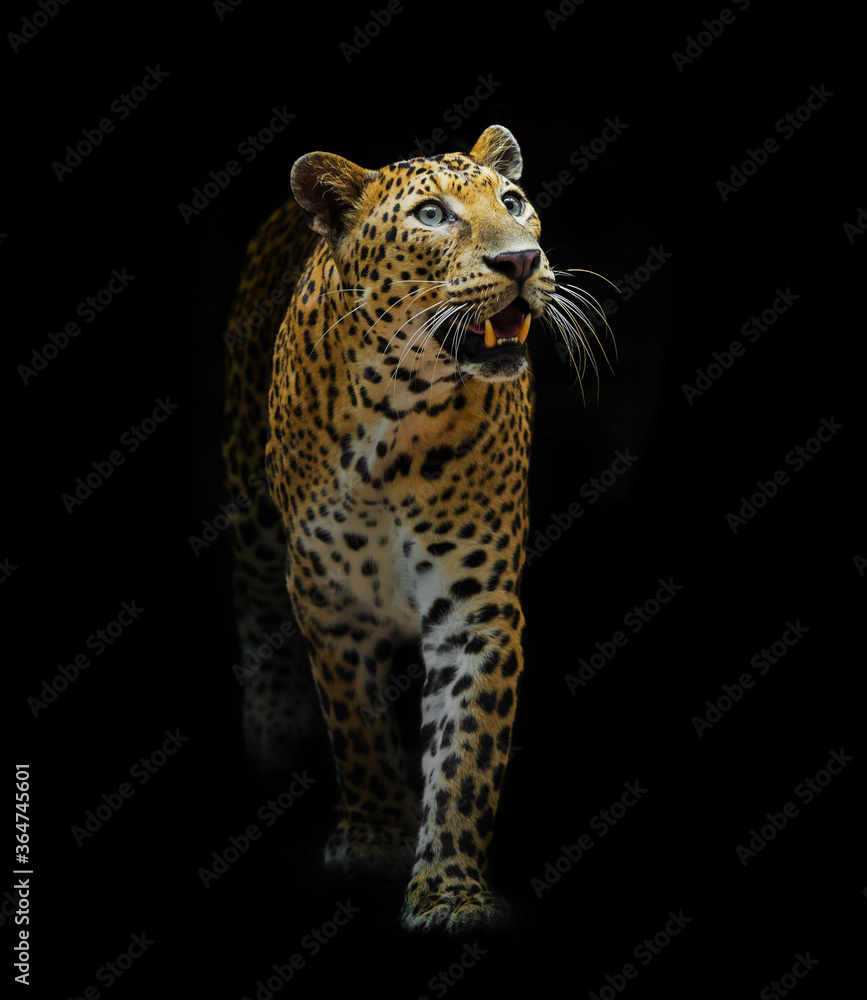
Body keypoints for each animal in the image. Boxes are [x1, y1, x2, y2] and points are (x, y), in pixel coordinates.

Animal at [222, 124, 605, 934]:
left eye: (513, 203)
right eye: (432, 216)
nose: (521, 260)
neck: (399, 413)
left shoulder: (475, 607)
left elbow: (464, 752)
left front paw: (450, 890)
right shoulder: (327, 598)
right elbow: (356, 723)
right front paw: (375, 836)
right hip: (253, 511)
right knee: (253, 598)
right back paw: (272, 731)